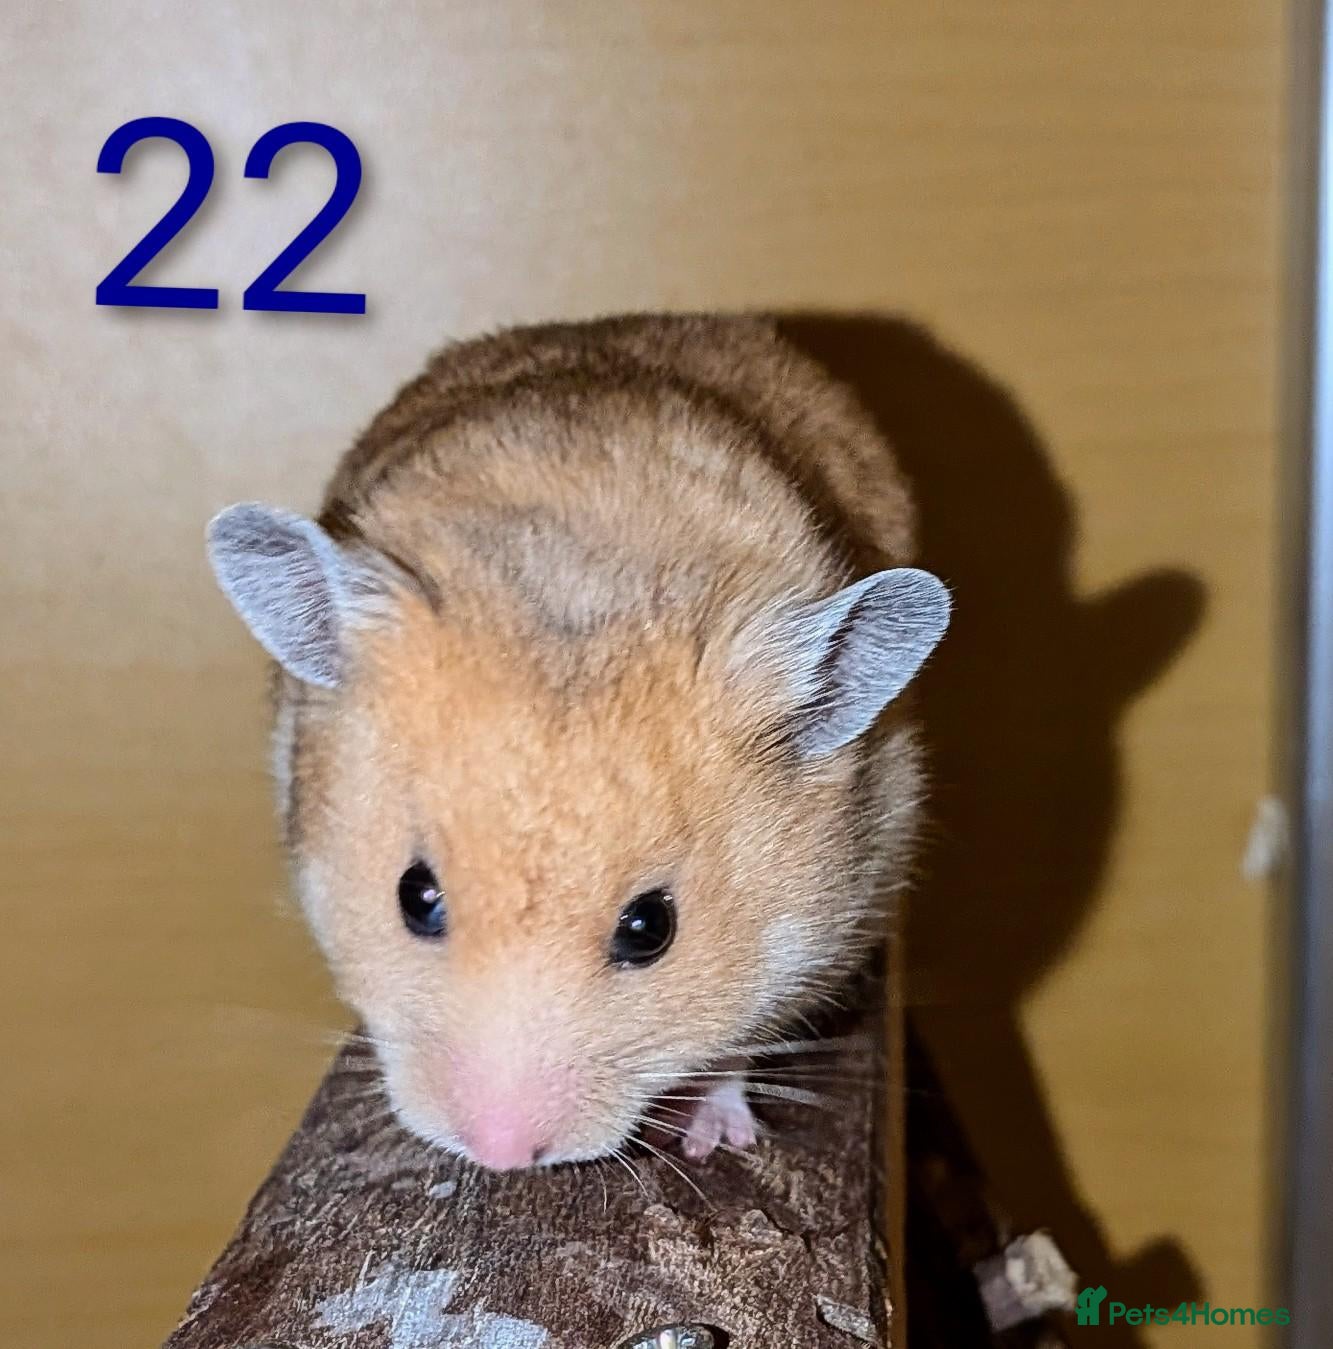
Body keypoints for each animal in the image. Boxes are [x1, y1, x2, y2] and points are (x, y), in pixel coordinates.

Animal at [207, 314, 949, 1172]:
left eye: (649, 928)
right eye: (414, 897)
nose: (500, 1154)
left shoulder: (820, 928)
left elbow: (735, 1045)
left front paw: (712, 1137)